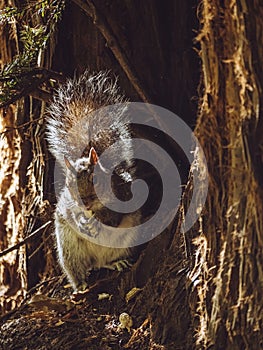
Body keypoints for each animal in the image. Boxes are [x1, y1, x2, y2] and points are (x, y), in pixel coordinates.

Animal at [46, 70, 141, 290]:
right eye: (69, 185)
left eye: (95, 180)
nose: (85, 203)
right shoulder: (67, 204)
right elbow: (71, 214)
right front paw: (83, 222)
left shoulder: (124, 193)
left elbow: (113, 217)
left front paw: (99, 221)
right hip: (69, 249)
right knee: (81, 268)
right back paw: (80, 285)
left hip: (126, 241)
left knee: (106, 261)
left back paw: (116, 262)